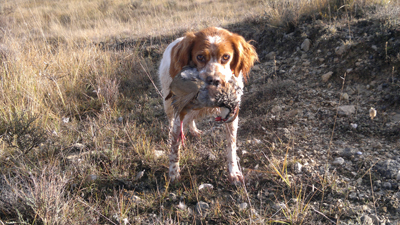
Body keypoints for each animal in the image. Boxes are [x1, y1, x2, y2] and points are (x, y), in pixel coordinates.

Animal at [158, 26, 258, 185]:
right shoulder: (180, 112)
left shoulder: (231, 116)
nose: (214, 80)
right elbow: (174, 146)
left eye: (226, 57)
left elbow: (231, 146)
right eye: (200, 57)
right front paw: (173, 173)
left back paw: (194, 131)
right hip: (168, 102)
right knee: (171, 123)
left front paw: (234, 173)